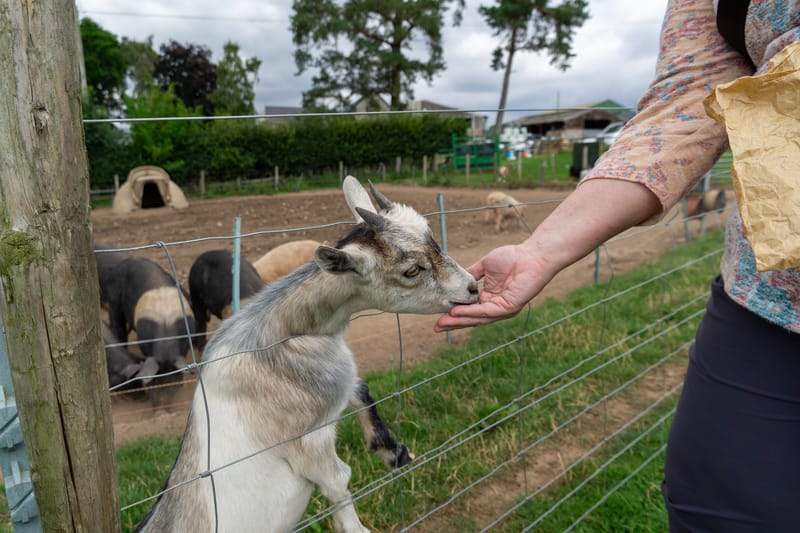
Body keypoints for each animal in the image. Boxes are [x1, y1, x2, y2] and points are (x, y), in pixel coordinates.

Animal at [134, 176, 479, 533]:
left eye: (433, 240)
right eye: (412, 270)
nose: (473, 288)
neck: (281, 333)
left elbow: (360, 388)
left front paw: (394, 452)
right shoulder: (308, 441)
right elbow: (339, 481)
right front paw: (356, 526)